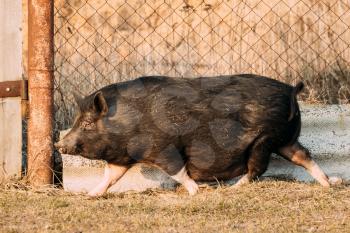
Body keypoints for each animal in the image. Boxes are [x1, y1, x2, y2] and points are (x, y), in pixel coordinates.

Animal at [55, 74, 342, 195]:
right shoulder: (122, 157)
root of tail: (291, 90)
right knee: (303, 155)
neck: (127, 122)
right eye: (78, 121)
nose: (59, 144)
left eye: (88, 123)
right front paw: (91, 195)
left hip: (265, 140)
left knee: (257, 169)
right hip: (285, 140)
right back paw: (330, 183)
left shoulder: (164, 149)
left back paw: (233, 188)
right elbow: (110, 177)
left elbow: (178, 171)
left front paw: (195, 192)